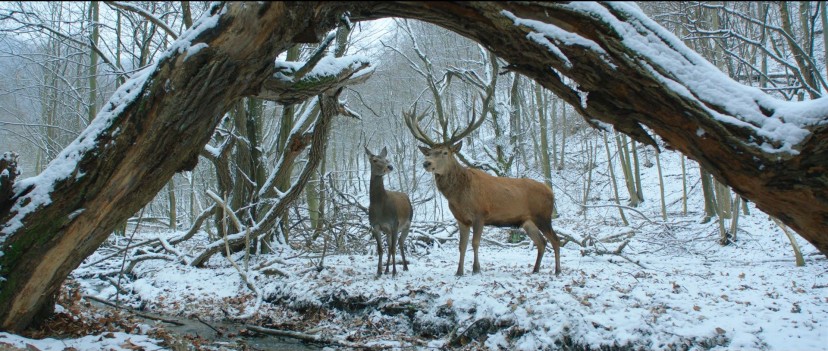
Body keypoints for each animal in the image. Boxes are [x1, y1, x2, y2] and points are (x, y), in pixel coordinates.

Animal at [364, 146, 412, 278]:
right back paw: (386, 270)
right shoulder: (375, 225)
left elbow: (392, 249)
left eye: (386, 159)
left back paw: (405, 267)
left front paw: (394, 272)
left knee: (400, 243)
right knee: (391, 245)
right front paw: (379, 271)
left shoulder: (394, 223)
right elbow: (381, 249)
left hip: (407, 224)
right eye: (374, 160)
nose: (390, 166)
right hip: (388, 231)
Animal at [402, 108, 560, 278]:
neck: (458, 196)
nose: (426, 163)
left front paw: (476, 269)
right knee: (542, 242)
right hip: (527, 221)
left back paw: (557, 271)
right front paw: (459, 272)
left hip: (543, 216)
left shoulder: (480, 214)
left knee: (555, 240)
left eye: (444, 152)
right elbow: (462, 246)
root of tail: (551, 191)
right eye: (429, 152)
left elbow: (475, 243)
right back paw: (535, 269)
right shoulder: (461, 219)